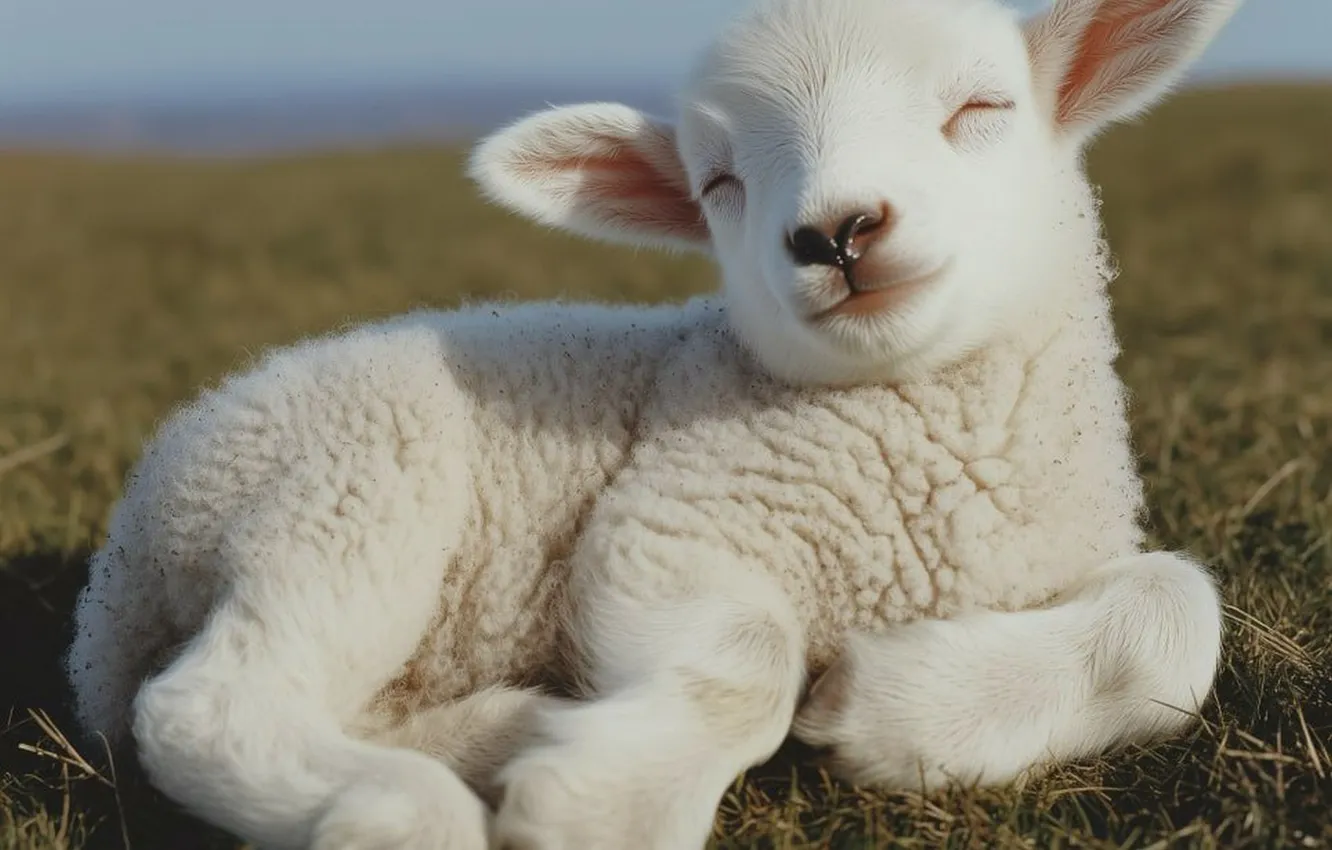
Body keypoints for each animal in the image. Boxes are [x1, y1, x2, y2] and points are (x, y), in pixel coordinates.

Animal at [65, 0, 1242, 848]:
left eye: (981, 108)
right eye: (717, 181)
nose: (835, 231)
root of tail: (116, 584)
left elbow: (1180, 626)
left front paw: (902, 704)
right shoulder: (669, 519)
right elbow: (745, 664)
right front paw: (603, 806)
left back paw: (504, 732)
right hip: (345, 491)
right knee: (209, 703)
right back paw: (412, 811)